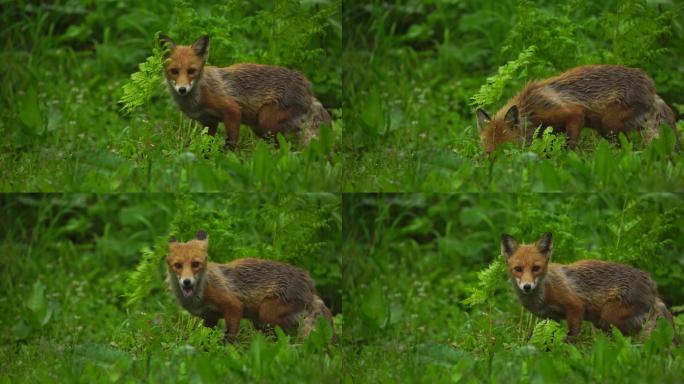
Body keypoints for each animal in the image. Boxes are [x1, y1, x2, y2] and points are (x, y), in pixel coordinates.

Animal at [160, 34, 332, 148]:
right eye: (174, 71)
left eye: (191, 71)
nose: (182, 89)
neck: (198, 97)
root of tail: (309, 89)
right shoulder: (209, 122)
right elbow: (206, 145)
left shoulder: (232, 111)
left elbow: (230, 143)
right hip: (261, 128)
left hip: (265, 120)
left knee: (287, 147)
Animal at [168, 230, 334, 340]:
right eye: (178, 266)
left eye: (195, 264)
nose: (187, 281)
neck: (199, 295)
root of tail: (310, 284)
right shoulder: (210, 317)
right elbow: (207, 338)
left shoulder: (233, 305)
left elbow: (230, 336)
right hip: (261, 321)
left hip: (266, 313)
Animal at [478, 65, 680, 154]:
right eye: (487, 152)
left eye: (505, 150)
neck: (531, 108)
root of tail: (652, 90)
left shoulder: (574, 114)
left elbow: (570, 145)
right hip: (606, 128)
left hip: (609, 124)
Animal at [502, 231, 672, 340]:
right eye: (518, 269)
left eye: (536, 268)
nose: (527, 287)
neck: (544, 293)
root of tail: (651, 284)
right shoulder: (551, 318)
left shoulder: (575, 306)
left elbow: (572, 336)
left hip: (608, 317)